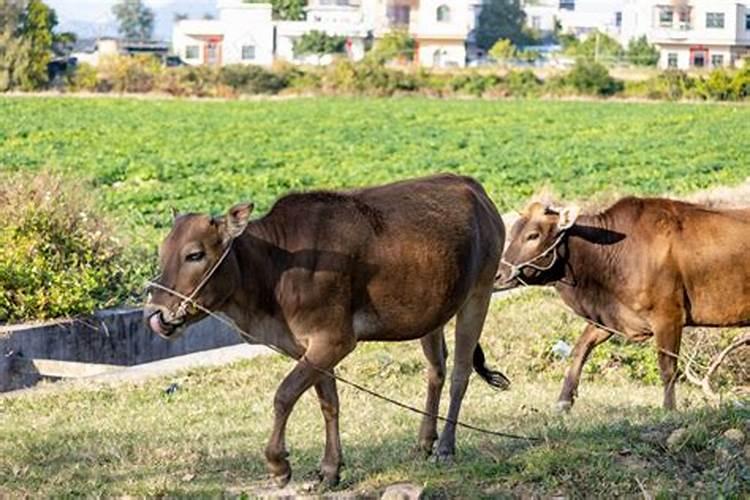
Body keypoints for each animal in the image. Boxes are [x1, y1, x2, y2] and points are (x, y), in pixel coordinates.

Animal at [145, 174, 512, 486]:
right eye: (161, 252)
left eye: (195, 254)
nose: (155, 314)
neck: (276, 268)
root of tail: (474, 187)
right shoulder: (311, 346)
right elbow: (329, 403)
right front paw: (330, 470)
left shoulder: (334, 340)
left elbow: (284, 394)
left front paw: (279, 465)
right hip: (431, 312)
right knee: (436, 370)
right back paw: (424, 442)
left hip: (478, 295)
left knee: (460, 373)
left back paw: (446, 447)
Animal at [500, 197, 750, 412]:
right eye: (512, 232)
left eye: (533, 235)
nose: (499, 274)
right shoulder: (610, 317)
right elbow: (581, 348)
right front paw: (563, 401)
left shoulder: (668, 315)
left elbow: (667, 367)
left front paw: (669, 409)